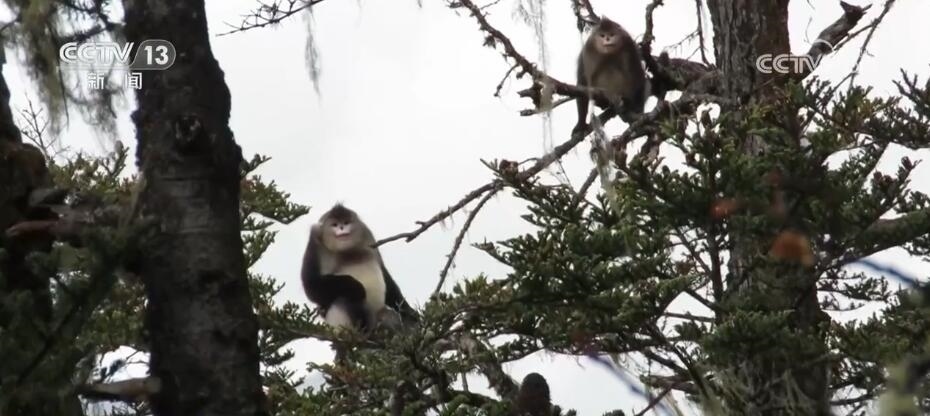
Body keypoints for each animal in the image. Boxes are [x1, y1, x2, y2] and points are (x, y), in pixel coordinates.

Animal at [301, 204, 418, 332]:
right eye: (334, 225)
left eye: (346, 222)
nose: (341, 227)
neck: (347, 251)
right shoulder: (314, 245)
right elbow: (311, 286)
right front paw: (357, 286)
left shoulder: (368, 236)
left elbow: (385, 275)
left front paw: (408, 311)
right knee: (346, 297)